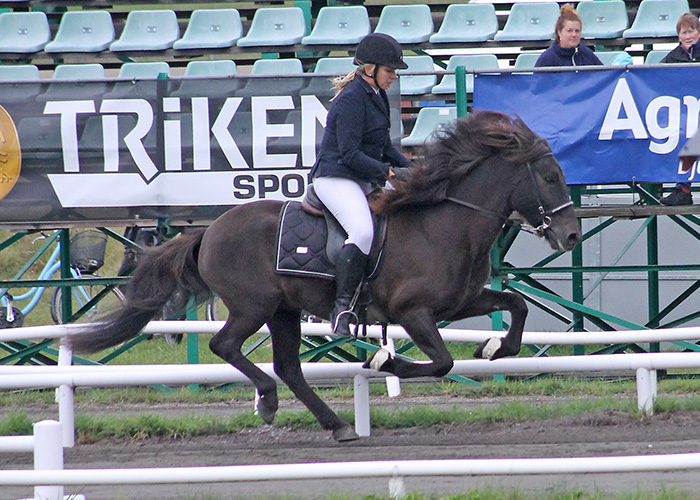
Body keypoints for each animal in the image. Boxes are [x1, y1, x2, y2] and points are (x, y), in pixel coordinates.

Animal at [71, 110, 584, 442]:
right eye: (551, 177)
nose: (572, 235)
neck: (444, 223)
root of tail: (208, 230)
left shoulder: (458, 303)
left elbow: (516, 307)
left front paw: (495, 348)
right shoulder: (414, 312)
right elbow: (441, 362)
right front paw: (385, 363)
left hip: (283, 311)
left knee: (288, 366)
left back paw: (335, 425)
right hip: (254, 306)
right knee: (226, 346)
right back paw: (269, 401)